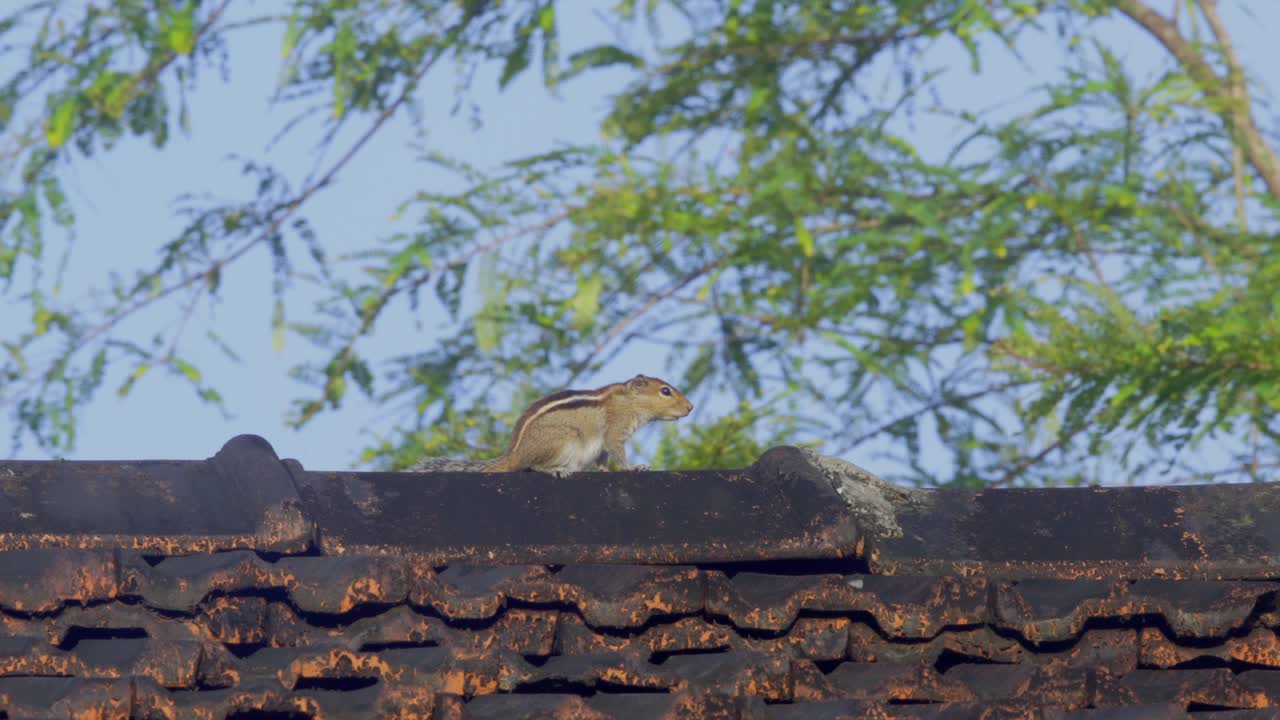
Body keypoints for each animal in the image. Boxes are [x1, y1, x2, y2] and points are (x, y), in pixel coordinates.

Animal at [413, 374, 694, 476]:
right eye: (665, 391)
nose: (691, 407)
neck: (628, 400)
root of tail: (514, 454)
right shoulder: (615, 430)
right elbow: (617, 453)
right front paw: (634, 467)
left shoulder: (603, 444)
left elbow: (603, 458)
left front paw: (604, 471)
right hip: (565, 440)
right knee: (532, 465)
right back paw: (557, 470)